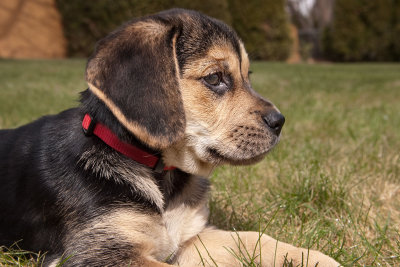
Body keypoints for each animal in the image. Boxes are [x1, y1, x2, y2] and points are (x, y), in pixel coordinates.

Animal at [0, 8, 340, 267]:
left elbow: (254, 239)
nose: (280, 121)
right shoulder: (100, 252)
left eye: (247, 77)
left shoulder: (193, 237)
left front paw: (313, 258)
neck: (158, 173)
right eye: (215, 78)